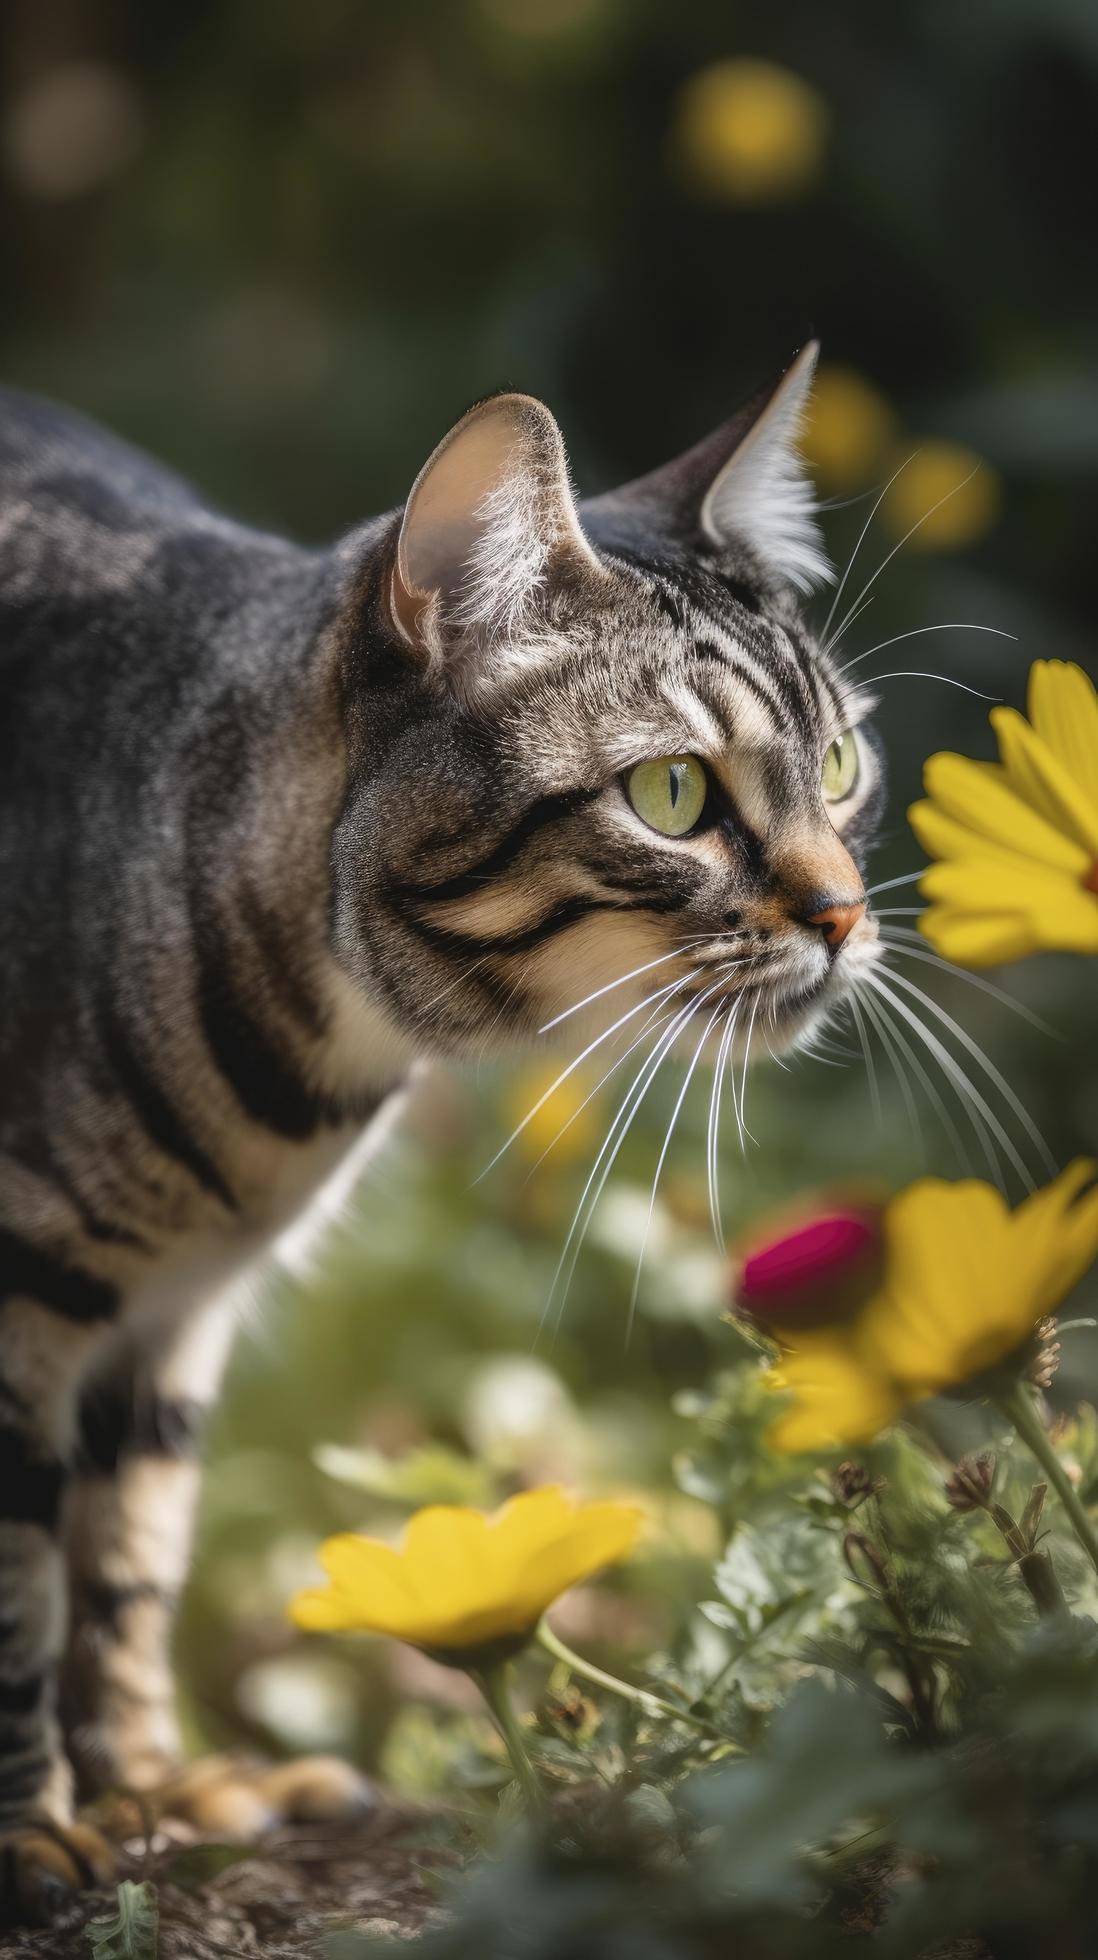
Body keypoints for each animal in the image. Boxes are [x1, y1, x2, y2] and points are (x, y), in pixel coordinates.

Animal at [0, 344, 878, 1920]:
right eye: (672, 793)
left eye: (839, 763)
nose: (847, 914)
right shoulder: (27, 1297)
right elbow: (15, 1586)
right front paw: (30, 1829)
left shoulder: (172, 1318)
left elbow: (125, 1564)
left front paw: (153, 1789)